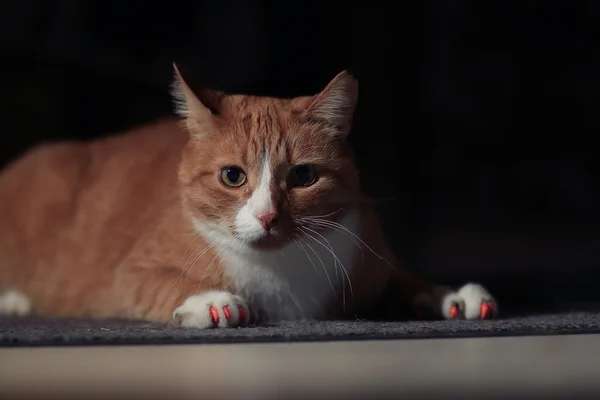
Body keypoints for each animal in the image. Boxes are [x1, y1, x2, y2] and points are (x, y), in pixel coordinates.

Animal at [0, 65, 496, 328]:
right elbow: (168, 280)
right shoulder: (129, 270)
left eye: (303, 176)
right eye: (232, 176)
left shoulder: (371, 257)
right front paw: (210, 299)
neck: (279, 273)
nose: (267, 216)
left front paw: (449, 294)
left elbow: (406, 278)